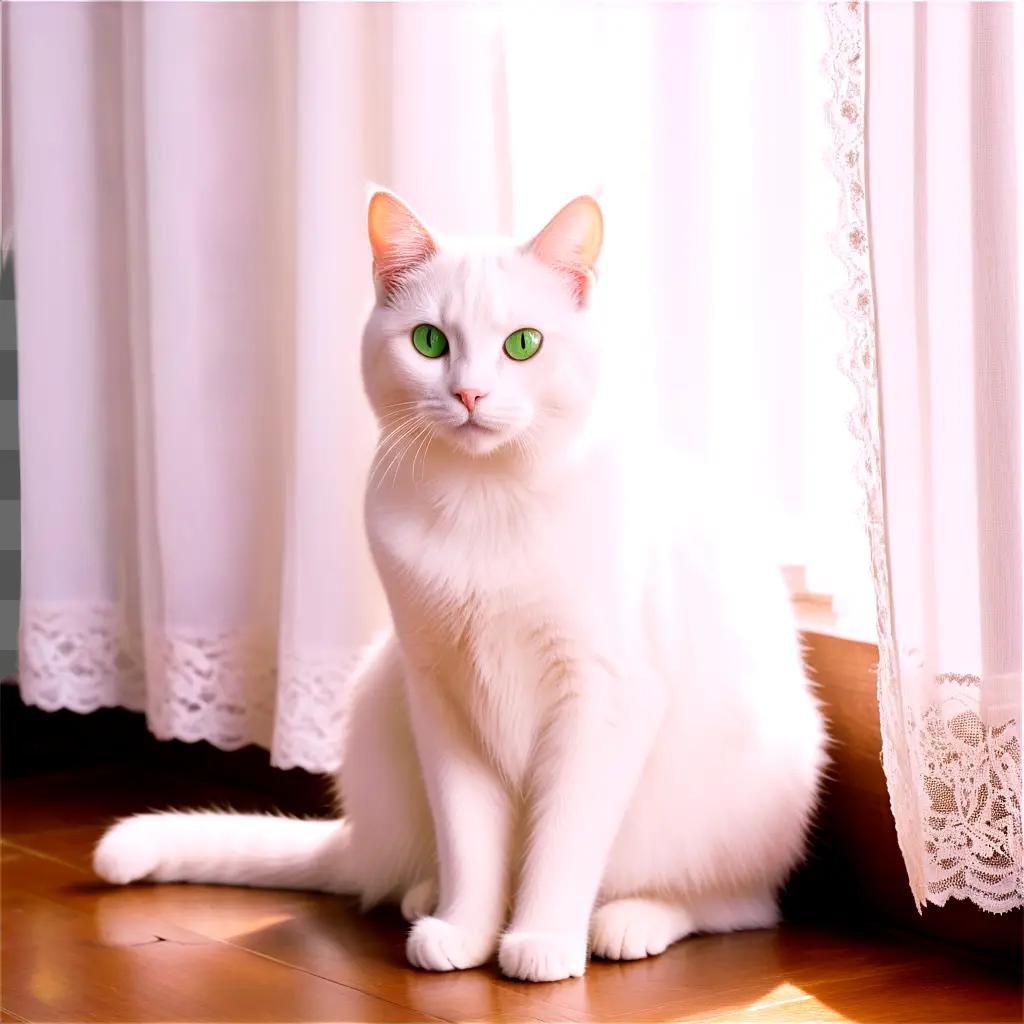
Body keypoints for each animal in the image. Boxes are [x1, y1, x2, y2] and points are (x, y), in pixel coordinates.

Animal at [96, 192, 827, 983]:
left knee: (739, 904)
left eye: (523, 345)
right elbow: (470, 838)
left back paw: (631, 920)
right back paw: (427, 897)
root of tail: (359, 840)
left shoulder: (601, 697)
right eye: (428, 342)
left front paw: (540, 940)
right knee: (408, 871)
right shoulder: (441, 696)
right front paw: (468, 929)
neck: (485, 503)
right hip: (382, 691)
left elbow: (564, 838)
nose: (470, 392)